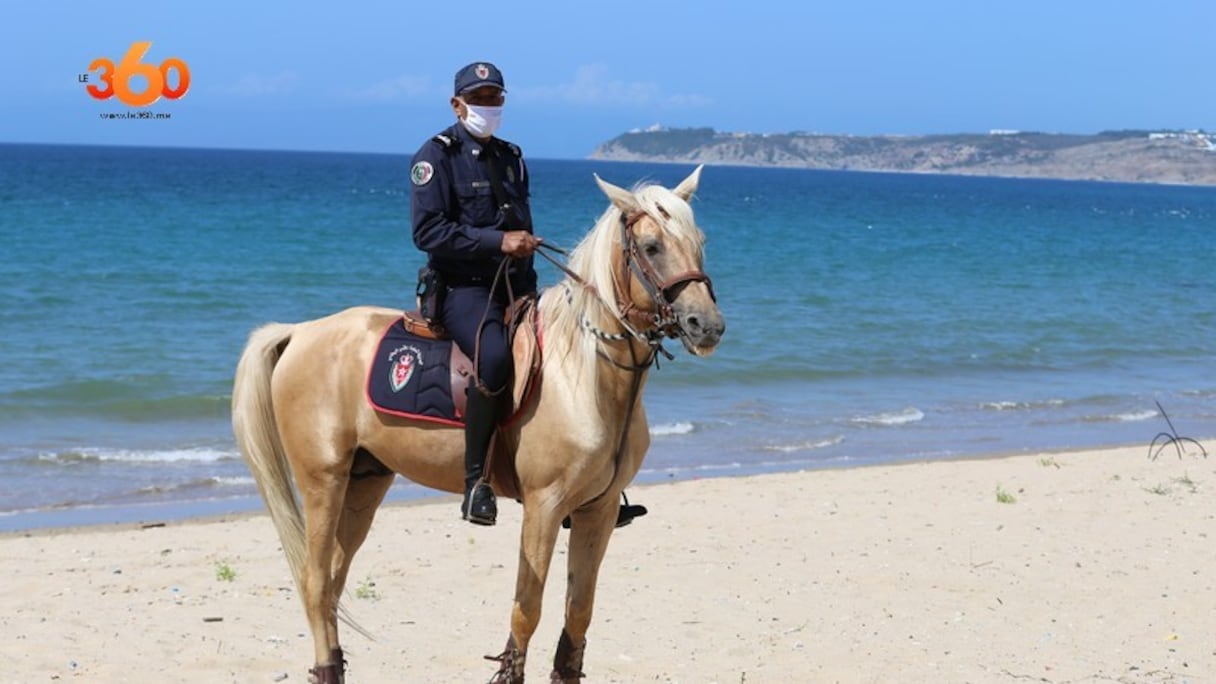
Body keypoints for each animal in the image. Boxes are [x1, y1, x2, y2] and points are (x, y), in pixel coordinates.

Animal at [229, 165, 719, 681]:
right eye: (652, 246)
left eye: (699, 241)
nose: (707, 325)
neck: (583, 375)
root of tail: (300, 332)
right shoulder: (544, 507)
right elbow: (527, 611)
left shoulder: (597, 511)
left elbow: (578, 614)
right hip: (323, 480)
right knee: (316, 581)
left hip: (365, 482)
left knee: (332, 580)